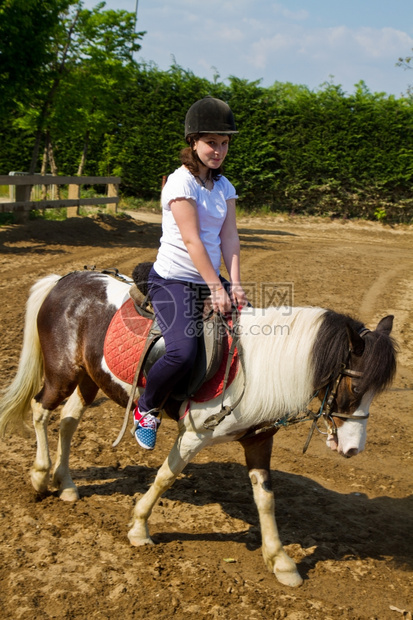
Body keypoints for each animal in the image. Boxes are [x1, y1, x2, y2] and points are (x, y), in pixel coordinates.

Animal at [0, 272, 396, 588]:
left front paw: (281, 561)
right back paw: (40, 476)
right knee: (40, 410)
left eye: (376, 392)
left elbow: (265, 498)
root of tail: (63, 281)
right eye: (355, 387)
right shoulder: (193, 435)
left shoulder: (258, 441)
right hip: (62, 373)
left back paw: (66, 483)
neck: (256, 368)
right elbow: (165, 476)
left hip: (89, 378)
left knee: (68, 420)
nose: (353, 449)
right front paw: (139, 528)